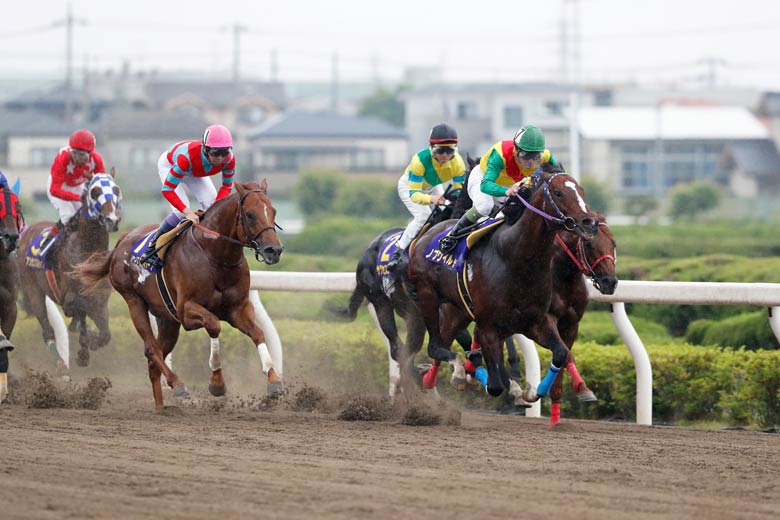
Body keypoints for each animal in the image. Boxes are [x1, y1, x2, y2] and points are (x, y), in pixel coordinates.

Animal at [16, 170, 122, 369]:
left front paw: (90, 342)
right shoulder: (68, 296)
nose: (112, 220)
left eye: (116, 190)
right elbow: (77, 309)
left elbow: (105, 334)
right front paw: (84, 349)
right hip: (33, 289)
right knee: (47, 329)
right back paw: (59, 361)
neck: (87, 250)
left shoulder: (100, 300)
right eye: (95, 192)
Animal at [75, 180, 284, 409]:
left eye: (273, 211)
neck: (214, 255)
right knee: (151, 349)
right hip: (134, 301)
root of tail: (122, 239)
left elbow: (258, 333)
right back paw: (177, 384)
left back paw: (160, 406)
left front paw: (274, 380)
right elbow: (214, 325)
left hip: (167, 319)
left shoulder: (237, 308)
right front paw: (217, 383)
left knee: (154, 359)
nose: (274, 250)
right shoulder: (186, 311)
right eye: (250, 214)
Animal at [407, 170, 600, 399]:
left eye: (582, 191)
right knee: (435, 347)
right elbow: (495, 386)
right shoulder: (488, 326)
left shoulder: (534, 322)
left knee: (442, 345)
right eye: (558, 192)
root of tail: (424, 236)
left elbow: (561, 353)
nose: (589, 222)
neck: (517, 260)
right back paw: (454, 373)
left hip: (457, 311)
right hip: (427, 295)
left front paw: (537, 391)